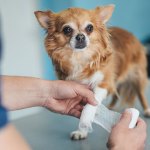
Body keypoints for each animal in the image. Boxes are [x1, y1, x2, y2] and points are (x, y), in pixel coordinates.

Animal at [34, 4, 149, 141]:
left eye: (90, 28)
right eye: (67, 29)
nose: (80, 36)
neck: (79, 58)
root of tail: (130, 34)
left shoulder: (103, 83)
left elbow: (90, 105)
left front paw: (86, 120)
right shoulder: (80, 88)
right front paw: (82, 131)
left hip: (137, 76)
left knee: (141, 94)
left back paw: (147, 110)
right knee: (116, 94)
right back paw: (111, 106)